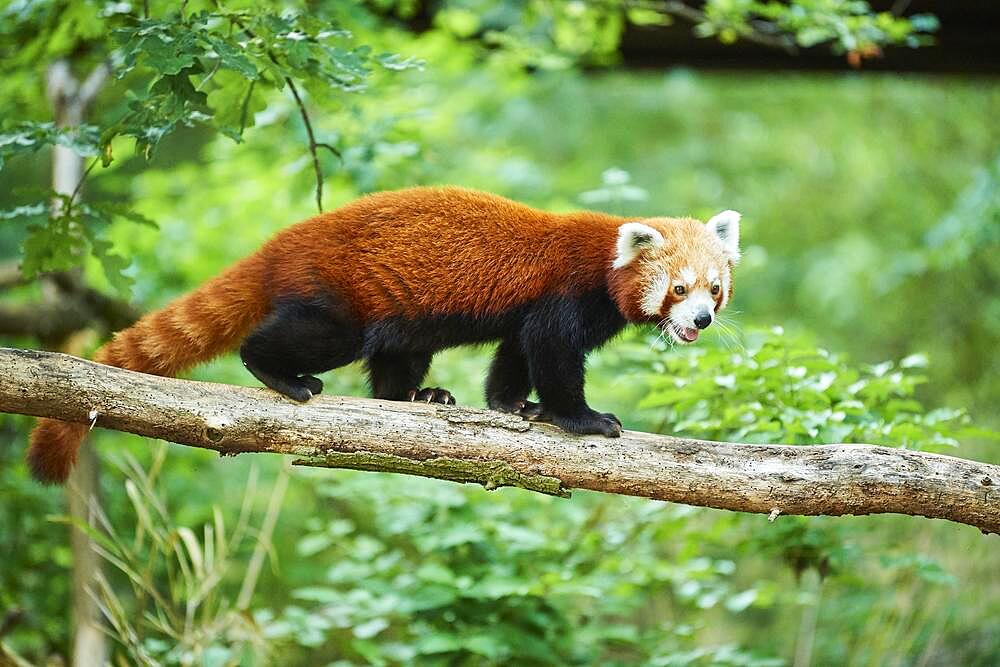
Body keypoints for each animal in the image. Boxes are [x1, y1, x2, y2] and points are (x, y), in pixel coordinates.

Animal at [25, 188, 744, 486]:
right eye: (678, 288)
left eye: (714, 289)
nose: (701, 321)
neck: (602, 260)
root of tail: (282, 244)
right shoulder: (563, 296)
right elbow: (552, 354)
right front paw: (582, 418)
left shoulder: (527, 311)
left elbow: (514, 353)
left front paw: (512, 404)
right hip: (337, 299)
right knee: (307, 339)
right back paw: (281, 374)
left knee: (398, 357)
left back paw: (415, 400)